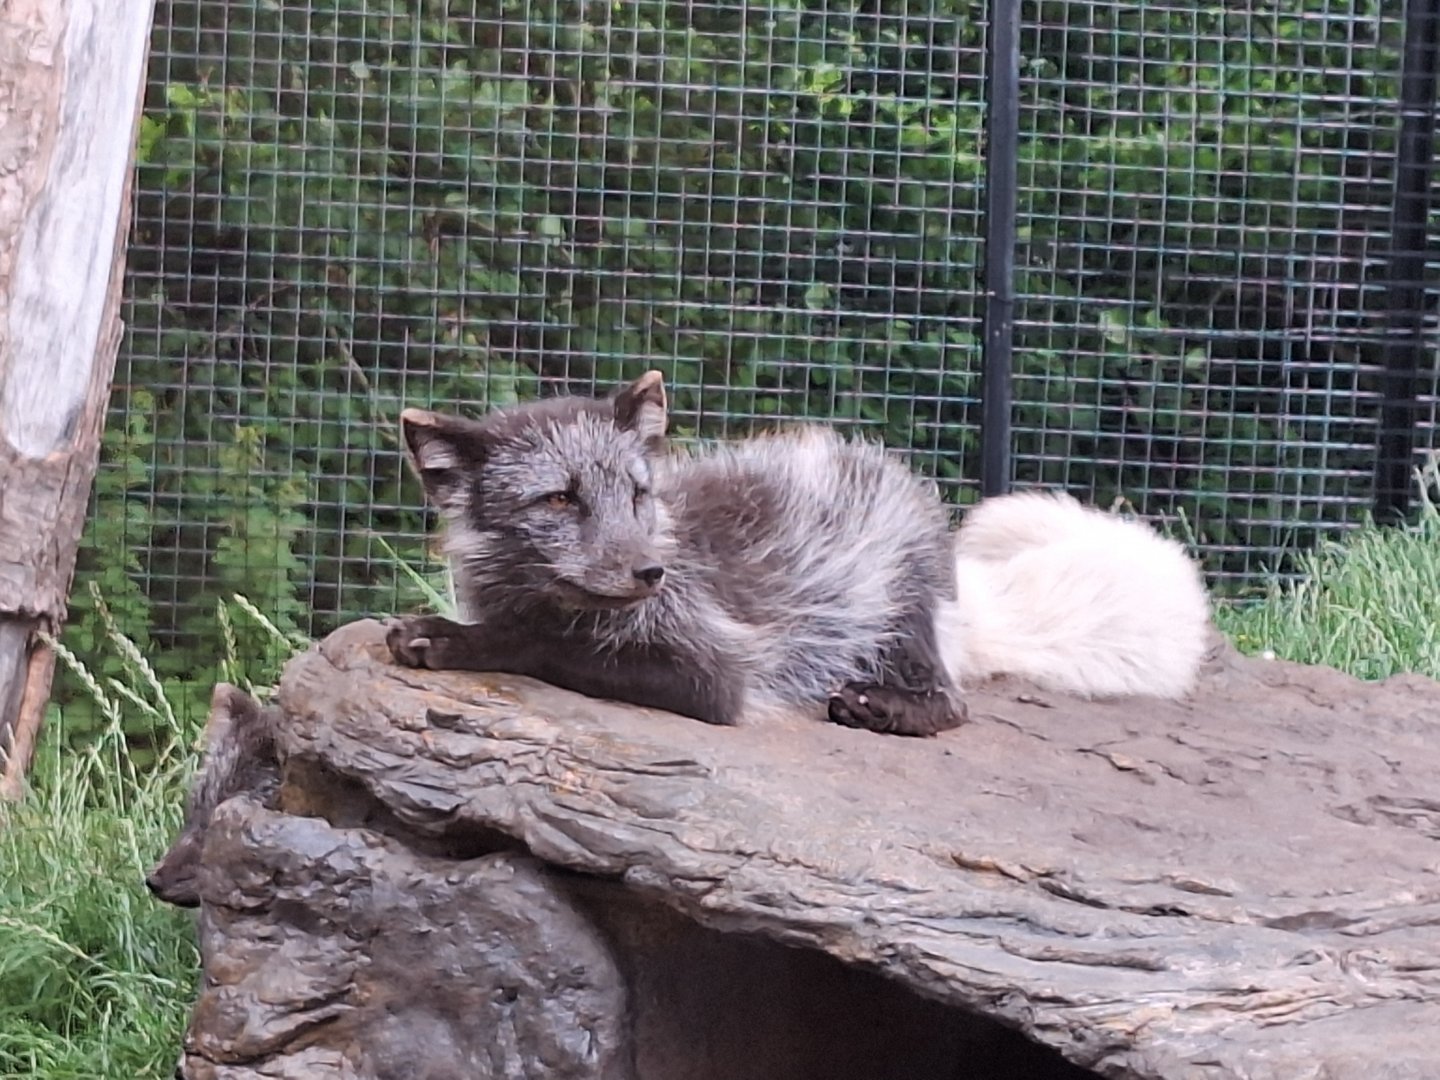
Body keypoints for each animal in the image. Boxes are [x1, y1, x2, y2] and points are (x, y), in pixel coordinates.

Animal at [384, 370, 968, 737]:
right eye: (559, 498)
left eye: (637, 492)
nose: (651, 572)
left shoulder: (716, 672)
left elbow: (546, 645)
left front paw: (453, 638)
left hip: (897, 608)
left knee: (953, 701)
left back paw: (882, 706)